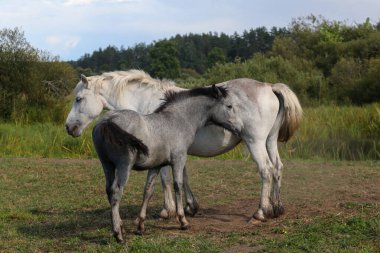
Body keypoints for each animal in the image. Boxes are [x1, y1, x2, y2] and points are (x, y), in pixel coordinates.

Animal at [66, 69, 302, 221]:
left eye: (78, 99)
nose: (69, 127)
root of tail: (270, 87)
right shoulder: (178, 151)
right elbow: (183, 177)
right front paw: (190, 206)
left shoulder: (161, 152)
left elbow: (164, 179)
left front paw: (168, 210)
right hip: (269, 141)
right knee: (277, 168)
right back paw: (276, 207)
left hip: (255, 142)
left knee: (266, 170)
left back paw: (261, 212)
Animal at [91, 85, 238, 243]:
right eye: (229, 106)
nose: (238, 128)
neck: (179, 120)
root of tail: (108, 120)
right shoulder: (179, 159)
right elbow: (178, 186)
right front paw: (183, 221)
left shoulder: (155, 166)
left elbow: (148, 191)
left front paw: (140, 226)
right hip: (124, 165)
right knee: (116, 192)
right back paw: (118, 234)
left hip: (107, 165)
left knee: (109, 191)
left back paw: (121, 228)